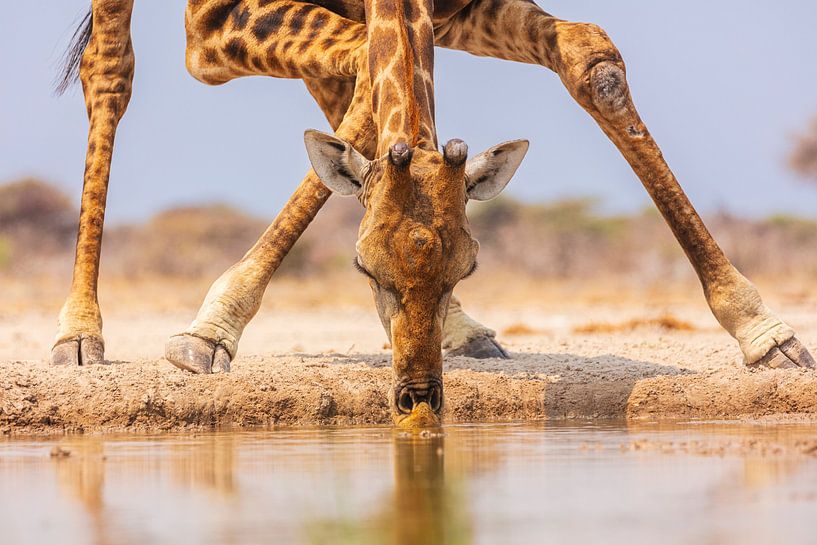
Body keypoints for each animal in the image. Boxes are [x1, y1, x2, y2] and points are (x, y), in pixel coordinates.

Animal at [53, 1, 815, 425]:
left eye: (468, 268)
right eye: (362, 267)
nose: (418, 399)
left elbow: (587, 53)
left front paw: (763, 332)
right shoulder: (209, 28)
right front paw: (208, 330)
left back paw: (463, 333)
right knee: (108, 69)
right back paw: (79, 333)